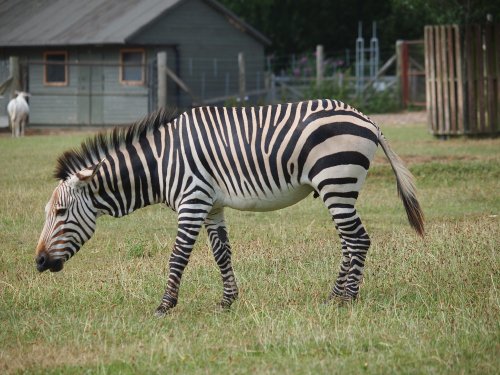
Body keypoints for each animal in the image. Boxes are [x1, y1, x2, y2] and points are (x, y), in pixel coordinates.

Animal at [35, 100, 424, 318]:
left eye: (60, 214)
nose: (37, 262)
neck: (160, 164)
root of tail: (366, 118)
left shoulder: (192, 201)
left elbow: (178, 256)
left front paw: (164, 306)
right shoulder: (211, 206)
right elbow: (222, 254)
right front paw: (227, 302)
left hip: (336, 181)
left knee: (358, 240)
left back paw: (347, 299)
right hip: (339, 187)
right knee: (349, 241)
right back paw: (334, 296)